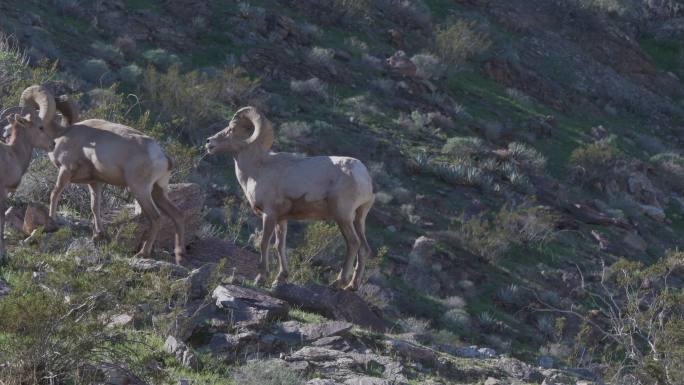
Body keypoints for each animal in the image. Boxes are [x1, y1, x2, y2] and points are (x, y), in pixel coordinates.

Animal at [21, 85, 187, 262]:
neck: (60, 134)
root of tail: (163, 157)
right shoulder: (94, 182)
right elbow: (95, 207)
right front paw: (98, 235)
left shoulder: (65, 171)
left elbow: (54, 194)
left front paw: (52, 221)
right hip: (158, 191)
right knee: (177, 215)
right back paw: (179, 256)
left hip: (140, 191)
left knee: (156, 218)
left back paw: (143, 253)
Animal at [206, 106, 374, 290]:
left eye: (232, 129)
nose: (209, 142)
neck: (257, 170)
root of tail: (363, 175)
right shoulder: (282, 219)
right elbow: (280, 246)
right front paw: (280, 278)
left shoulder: (269, 215)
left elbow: (264, 243)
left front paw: (260, 278)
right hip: (359, 218)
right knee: (364, 248)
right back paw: (352, 286)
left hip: (342, 216)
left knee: (353, 243)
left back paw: (338, 282)